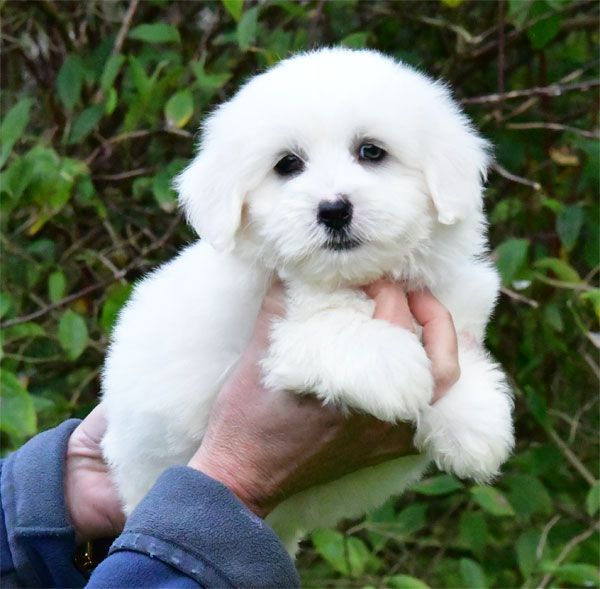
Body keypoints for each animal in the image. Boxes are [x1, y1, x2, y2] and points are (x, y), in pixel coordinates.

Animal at [101, 47, 512, 552]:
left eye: (371, 152)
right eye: (287, 165)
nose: (333, 209)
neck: (351, 279)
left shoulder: (455, 308)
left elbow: (459, 356)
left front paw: (476, 421)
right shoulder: (274, 343)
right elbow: (332, 329)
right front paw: (395, 368)